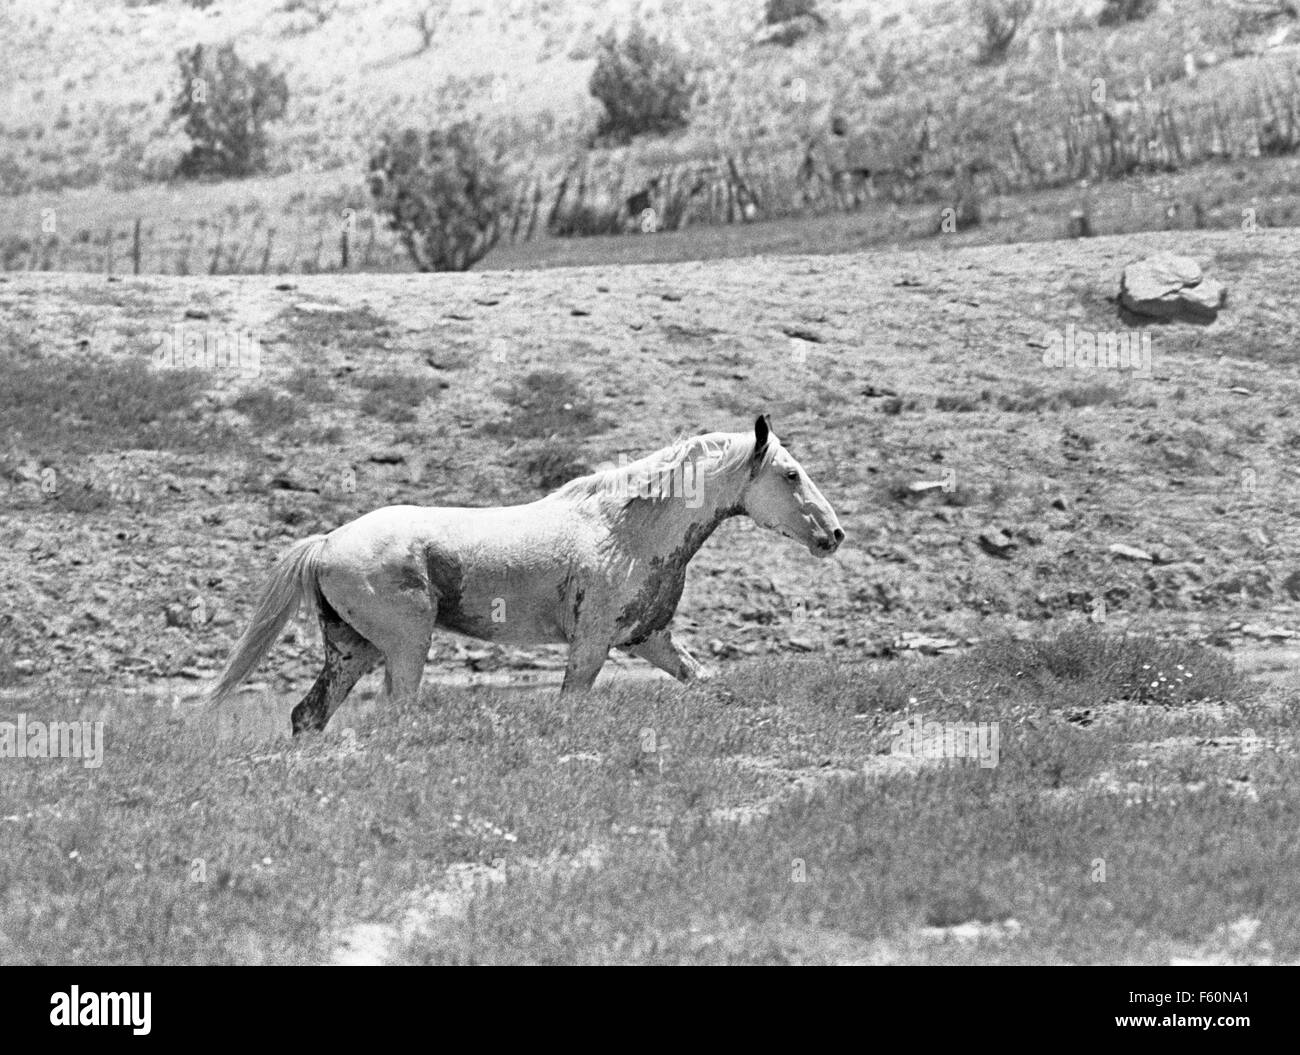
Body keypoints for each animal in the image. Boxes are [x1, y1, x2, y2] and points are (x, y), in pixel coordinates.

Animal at [208, 415, 844, 734]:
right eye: (790, 474)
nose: (833, 535)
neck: (624, 530)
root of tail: (327, 543)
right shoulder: (591, 644)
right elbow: (569, 707)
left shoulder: (649, 640)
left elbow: (711, 685)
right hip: (405, 645)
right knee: (392, 715)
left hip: (352, 649)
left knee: (308, 715)